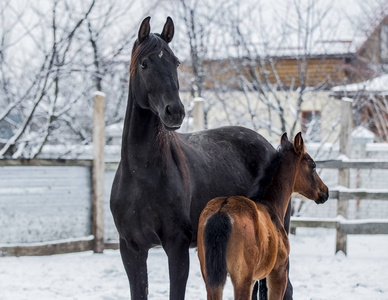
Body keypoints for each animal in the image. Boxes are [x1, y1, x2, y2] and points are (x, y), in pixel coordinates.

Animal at [110, 17, 292, 300]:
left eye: (175, 62)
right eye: (144, 63)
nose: (174, 111)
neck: (141, 174)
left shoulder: (177, 246)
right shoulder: (131, 249)